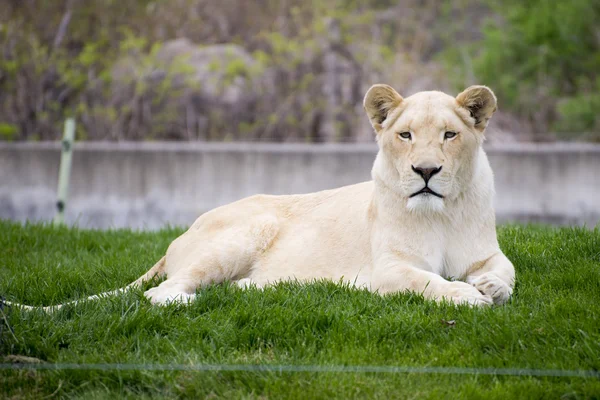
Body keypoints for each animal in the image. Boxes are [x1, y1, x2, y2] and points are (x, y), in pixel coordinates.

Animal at [8, 83, 516, 310]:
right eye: (406, 135)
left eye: (449, 135)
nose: (426, 171)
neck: (439, 214)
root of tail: (176, 239)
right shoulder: (386, 270)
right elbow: (427, 282)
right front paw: (468, 295)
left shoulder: (484, 251)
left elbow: (506, 269)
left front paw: (491, 287)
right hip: (246, 229)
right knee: (162, 293)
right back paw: (194, 301)